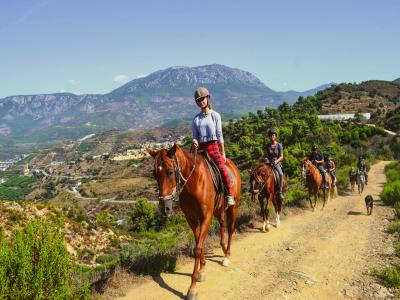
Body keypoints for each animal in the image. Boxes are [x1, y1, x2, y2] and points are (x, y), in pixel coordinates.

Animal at [147, 144, 241, 298]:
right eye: (154, 174)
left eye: (170, 172)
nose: (164, 208)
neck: (194, 182)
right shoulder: (191, 218)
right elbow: (198, 243)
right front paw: (202, 269)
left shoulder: (205, 217)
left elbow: (197, 248)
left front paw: (192, 287)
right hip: (218, 209)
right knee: (222, 223)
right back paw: (222, 247)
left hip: (233, 207)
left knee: (231, 228)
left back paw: (227, 255)